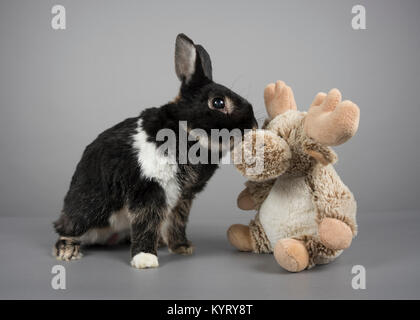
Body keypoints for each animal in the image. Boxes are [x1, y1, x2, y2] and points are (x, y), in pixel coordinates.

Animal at [52, 33, 256, 268]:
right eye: (218, 102)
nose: (253, 126)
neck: (185, 130)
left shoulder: (181, 198)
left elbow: (177, 222)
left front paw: (182, 247)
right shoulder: (148, 189)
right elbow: (146, 223)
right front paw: (145, 259)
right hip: (88, 207)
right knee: (68, 228)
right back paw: (67, 252)